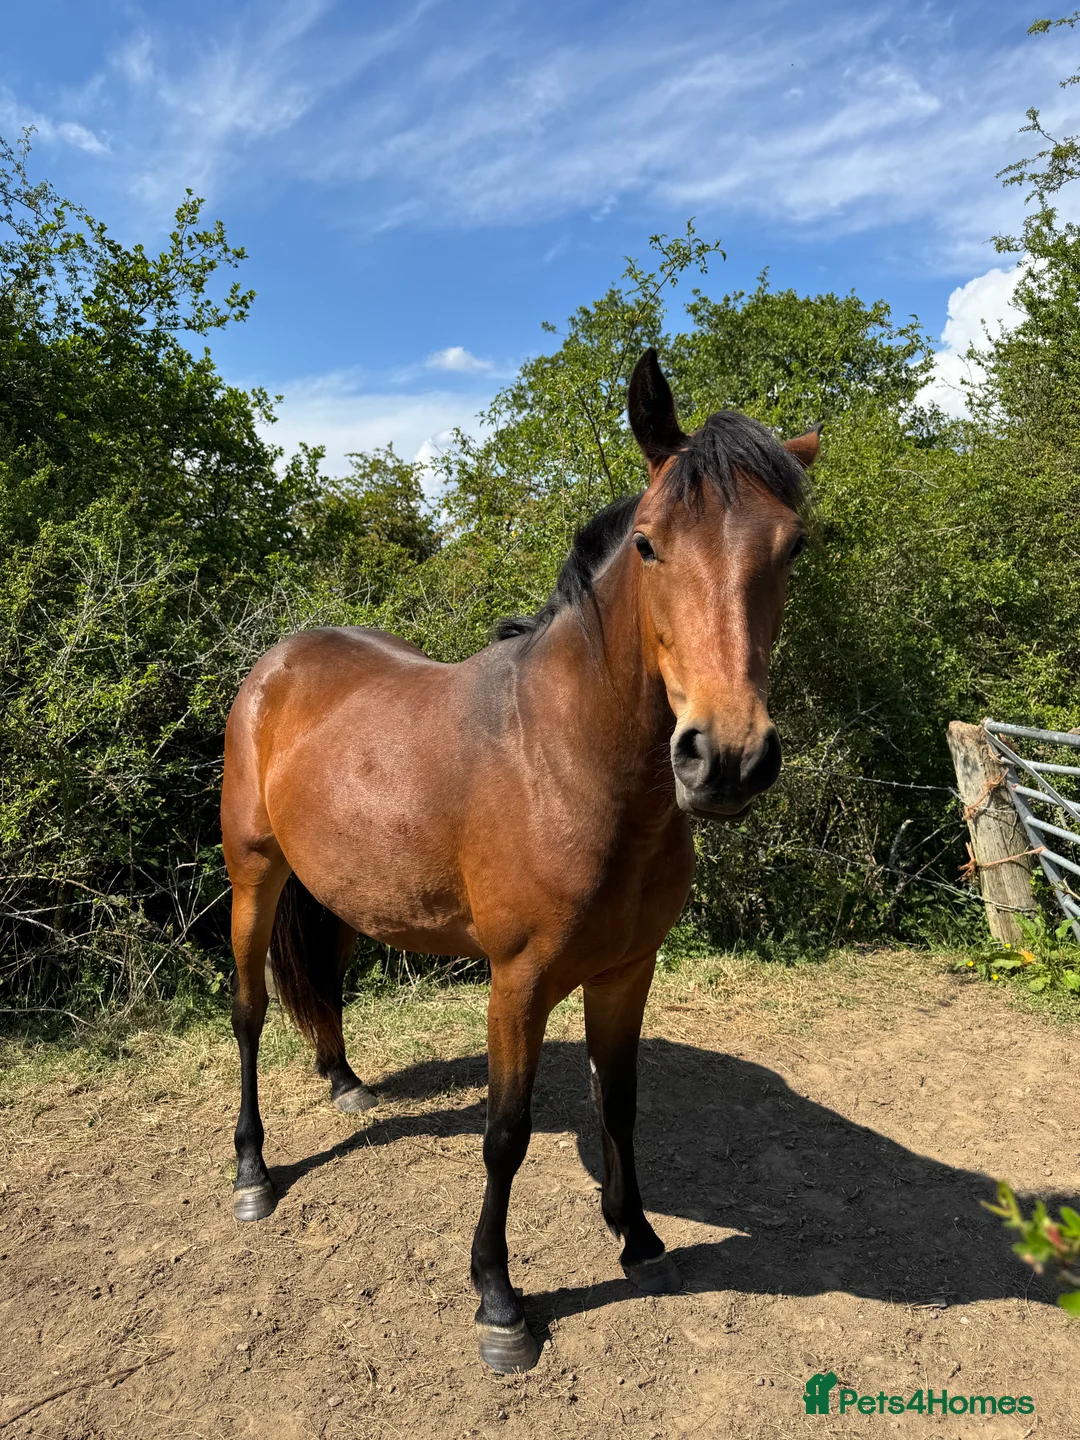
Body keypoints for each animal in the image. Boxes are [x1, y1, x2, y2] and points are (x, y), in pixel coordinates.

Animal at [220, 348, 817, 1372]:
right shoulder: (519, 981)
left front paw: (639, 1238)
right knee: (251, 1011)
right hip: (253, 876)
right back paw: (255, 1170)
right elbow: (506, 1135)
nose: (727, 758)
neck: (564, 760)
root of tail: (277, 665)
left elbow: (620, 1103)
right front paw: (500, 1302)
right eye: (650, 545)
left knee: (323, 980)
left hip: (336, 891)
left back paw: (344, 1082)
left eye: (792, 550)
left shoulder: (626, 971)